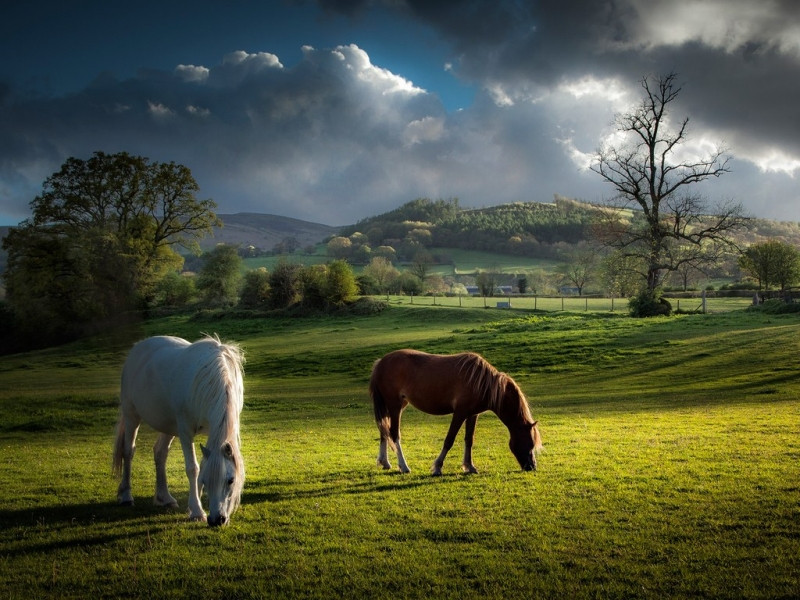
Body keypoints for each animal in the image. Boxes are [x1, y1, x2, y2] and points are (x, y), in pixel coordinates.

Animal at [111, 336, 244, 528]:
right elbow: (193, 468)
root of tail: (138, 347)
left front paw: (194, 505)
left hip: (168, 426)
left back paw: (164, 498)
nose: (216, 520)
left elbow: (200, 465)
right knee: (128, 451)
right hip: (131, 416)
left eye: (231, 480)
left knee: (160, 453)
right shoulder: (185, 430)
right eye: (206, 481)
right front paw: (197, 511)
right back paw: (126, 496)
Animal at [370, 350, 544, 476]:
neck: (482, 383)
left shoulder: (472, 415)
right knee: (394, 433)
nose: (531, 467)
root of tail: (380, 363)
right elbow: (449, 440)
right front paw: (437, 467)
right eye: (529, 443)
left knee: (383, 432)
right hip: (395, 406)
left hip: (393, 406)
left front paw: (470, 466)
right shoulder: (460, 413)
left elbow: (469, 440)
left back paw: (385, 463)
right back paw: (404, 466)